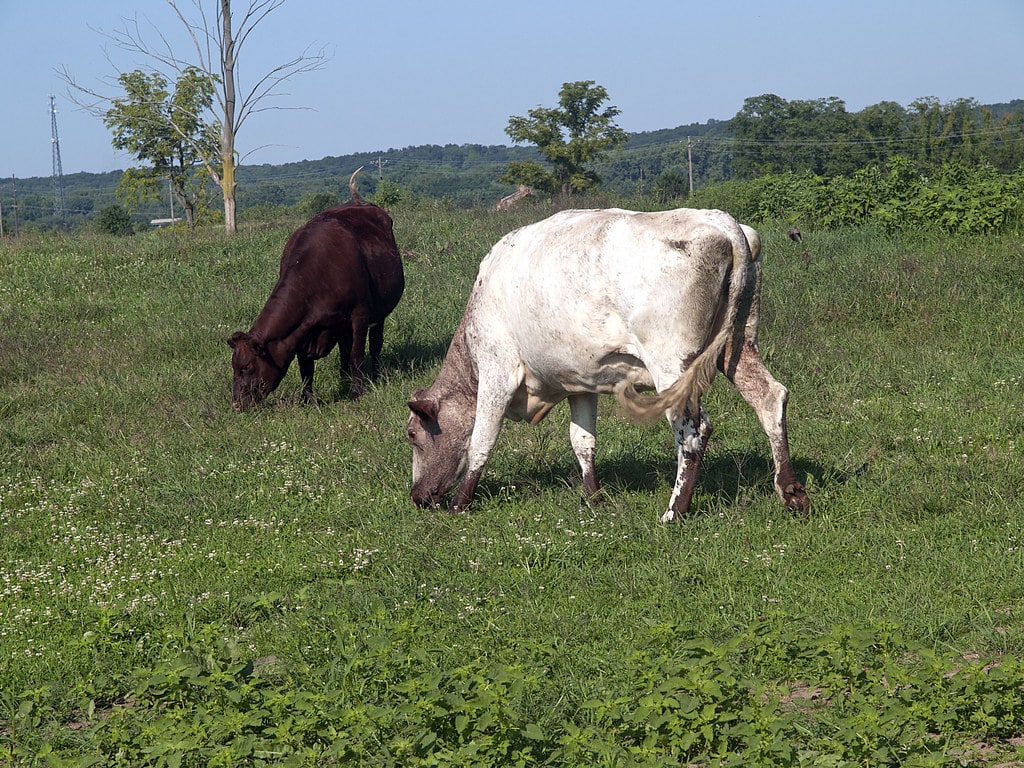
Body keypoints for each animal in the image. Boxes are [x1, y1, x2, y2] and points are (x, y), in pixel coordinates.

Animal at [228, 168, 404, 410]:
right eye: (234, 367)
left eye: (246, 367)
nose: (236, 404)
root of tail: (357, 201)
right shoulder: (303, 329)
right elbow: (306, 367)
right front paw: (307, 399)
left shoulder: (359, 315)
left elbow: (357, 355)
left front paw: (356, 392)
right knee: (344, 348)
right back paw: (344, 379)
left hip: (379, 312)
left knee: (375, 344)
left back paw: (373, 376)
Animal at [406, 207, 808, 522]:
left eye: (412, 434)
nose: (417, 497)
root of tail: (724, 223)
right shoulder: (580, 382)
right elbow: (582, 441)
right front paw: (593, 497)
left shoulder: (497, 369)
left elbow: (481, 440)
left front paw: (460, 504)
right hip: (738, 344)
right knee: (770, 397)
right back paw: (791, 491)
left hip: (671, 363)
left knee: (694, 431)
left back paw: (674, 511)